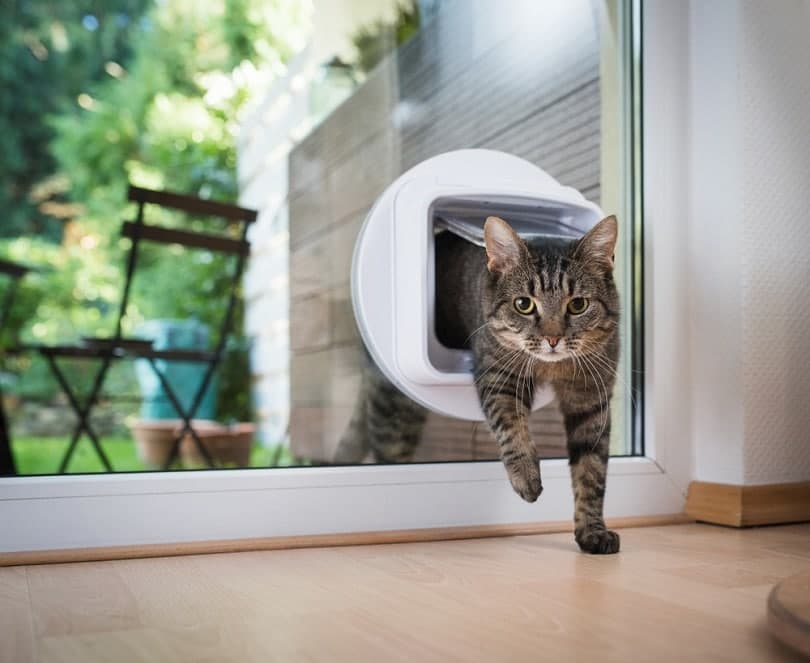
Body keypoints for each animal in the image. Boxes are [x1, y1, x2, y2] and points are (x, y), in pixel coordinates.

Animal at [334, 215, 620, 552]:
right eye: (524, 304)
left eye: (578, 305)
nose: (553, 339)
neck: (550, 367)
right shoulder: (498, 377)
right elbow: (511, 427)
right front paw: (525, 476)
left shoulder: (591, 399)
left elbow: (592, 469)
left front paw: (592, 530)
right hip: (393, 408)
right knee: (388, 451)